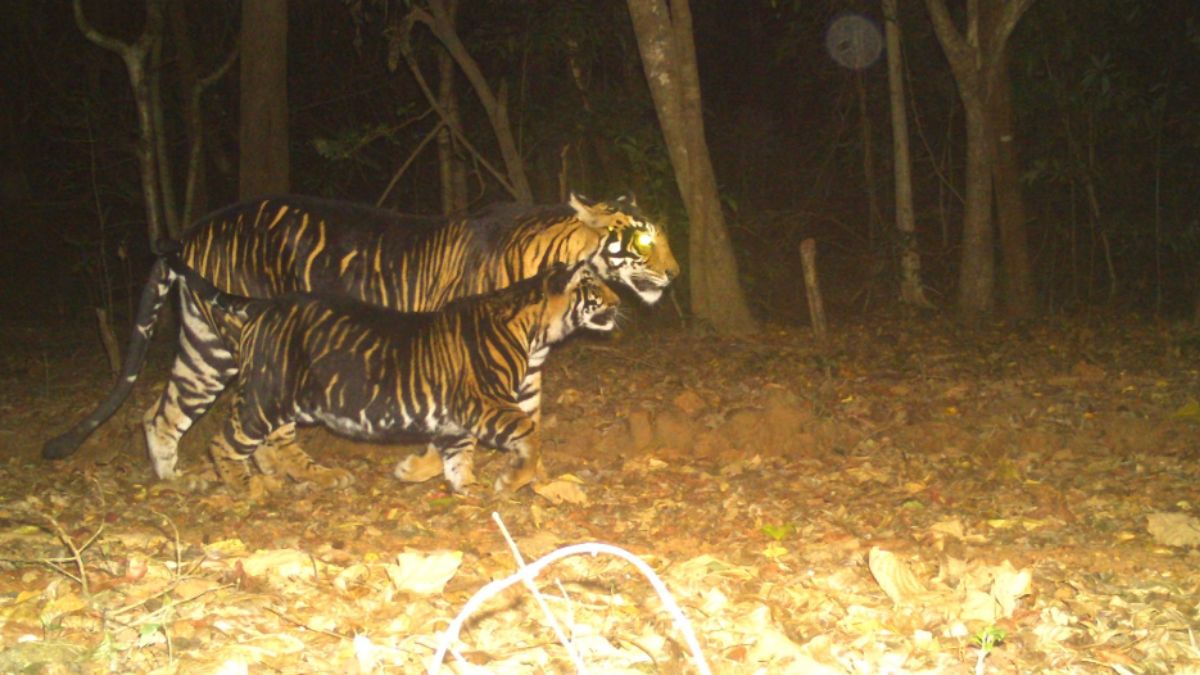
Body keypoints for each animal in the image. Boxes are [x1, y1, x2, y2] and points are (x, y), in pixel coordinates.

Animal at [159, 252, 619, 494]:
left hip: (287, 401)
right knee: (224, 442)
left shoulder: (456, 417)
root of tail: (264, 305)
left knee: (273, 443)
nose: (618, 302)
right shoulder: (486, 403)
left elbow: (455, 455)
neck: (535, 330)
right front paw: (511, 480)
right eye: (594, 286)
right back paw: (247, 487)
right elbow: (530, 433)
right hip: (265, 396)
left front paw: (457, 485)